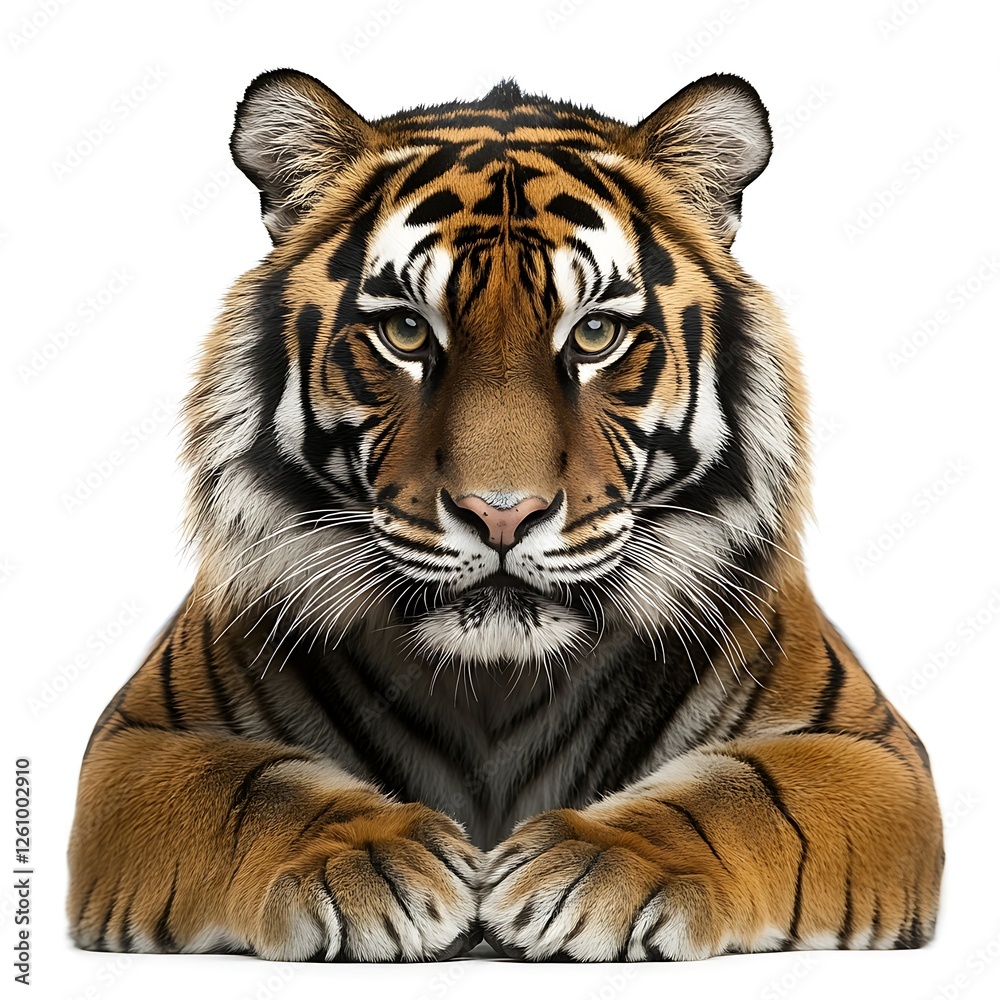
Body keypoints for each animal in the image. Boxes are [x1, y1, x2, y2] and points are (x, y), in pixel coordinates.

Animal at [67, 69, 944, 963]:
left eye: (594, 333)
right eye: (405, 330)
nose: (500, 515)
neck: (493, 683)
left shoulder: (870, 750)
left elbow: (741, 790)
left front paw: (593, 867)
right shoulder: (138, 741)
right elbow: (251, 785)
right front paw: (375, 861)